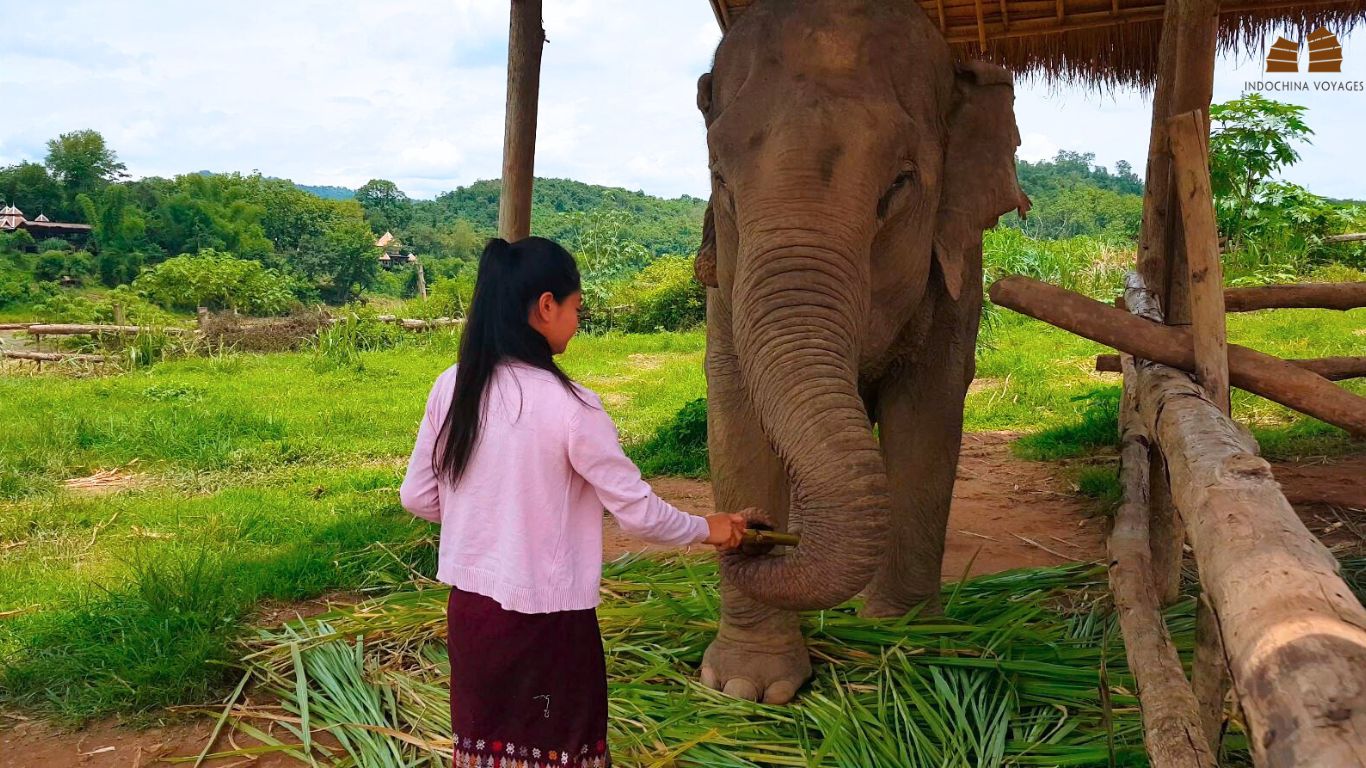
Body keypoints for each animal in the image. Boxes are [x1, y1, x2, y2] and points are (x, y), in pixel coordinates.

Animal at [693, 0, 1027, 705]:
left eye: (899, 185)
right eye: (719, 178)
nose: (753, 535)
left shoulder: (957, 270)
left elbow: (927, 418)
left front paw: (908, 643)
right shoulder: (724, 285)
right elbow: (735, 415)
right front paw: (745, 688)